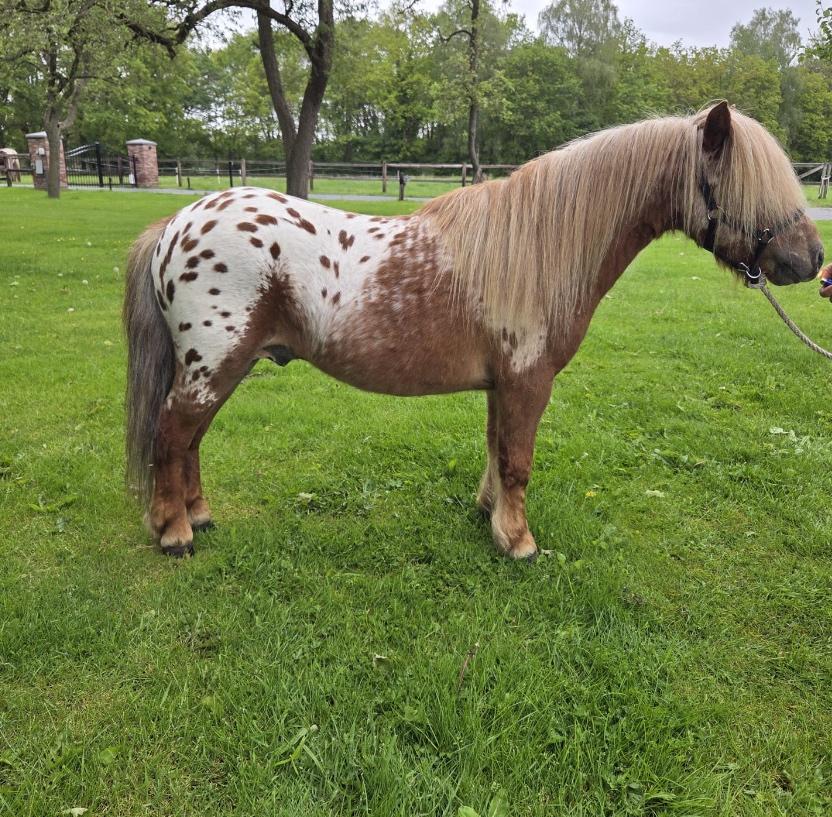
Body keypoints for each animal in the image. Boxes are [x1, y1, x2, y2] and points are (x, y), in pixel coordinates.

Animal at [124, 102, 823, 558]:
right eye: (748, 185)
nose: (811, 259)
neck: (543, 247)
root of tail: (175, 224)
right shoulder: (528, 382)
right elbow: (517, 461)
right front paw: (518, 542)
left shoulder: (502, 384)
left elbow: (494, 449)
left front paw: (489, 515)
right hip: (214, 364)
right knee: (172, 434)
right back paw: (174, 534)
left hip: (220, 368)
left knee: (188, 442)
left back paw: (199, 517)